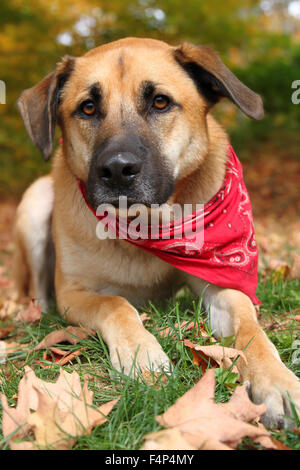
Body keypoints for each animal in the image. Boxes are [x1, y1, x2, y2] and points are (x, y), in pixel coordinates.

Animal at [14, 37, 300, 430]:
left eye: (160, 102)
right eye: (88, 107)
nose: (117, 170)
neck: (146, 223)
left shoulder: (222, 282)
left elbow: (251, 331)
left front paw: (278, 381)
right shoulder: (73, 293)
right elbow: (115, 304)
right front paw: (141, 353)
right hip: (35, 199)